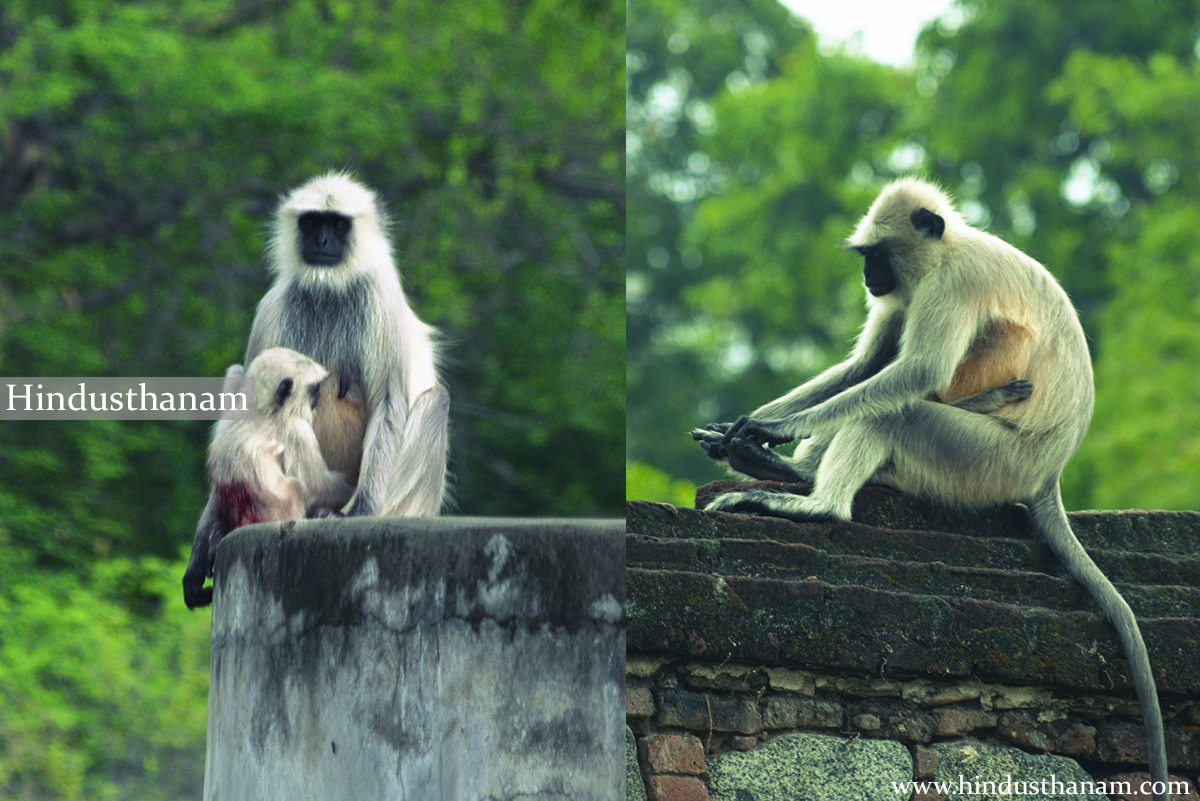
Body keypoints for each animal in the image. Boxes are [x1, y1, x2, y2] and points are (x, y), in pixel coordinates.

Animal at [180, 347, 352, 609]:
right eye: (314, 389)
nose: (318, 397)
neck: (260, 408)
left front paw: (194, 575)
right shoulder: (294, 429)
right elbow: (317, 486)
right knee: (296, 487)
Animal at [246, 171, 448, 515]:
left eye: (338, 224)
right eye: (311, 222)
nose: (322, 241)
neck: (330, 291)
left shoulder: (380, 300)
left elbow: (389, 405)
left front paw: (362, 510)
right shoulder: (274, 307)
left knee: (437, 400)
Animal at [691, 178, 1166, 796]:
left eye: (876, 255)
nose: (868, 277)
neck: (949, 249)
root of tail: (1050, 471)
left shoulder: (952, 284)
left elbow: (917, 371)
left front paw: (774, 430)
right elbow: (865, 364)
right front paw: (742, 432)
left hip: (987, 460)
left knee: (898, 412)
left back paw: (817, 504)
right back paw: (780, 471)